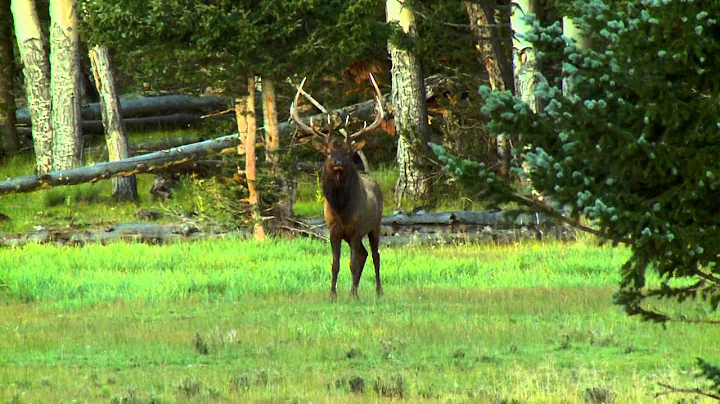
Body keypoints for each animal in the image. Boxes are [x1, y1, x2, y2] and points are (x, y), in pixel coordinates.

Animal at [291, 74, 385, 299]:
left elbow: (352, 263)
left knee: (375, 255)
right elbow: (335, 264)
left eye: (349, 152)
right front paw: (333, 294)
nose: (338, 162)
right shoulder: (333, 232)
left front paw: (353, 295)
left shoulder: (356, 230)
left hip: (375, 225)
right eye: (328, 152)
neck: (341, 208)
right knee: (364, 254)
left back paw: (378, 290)